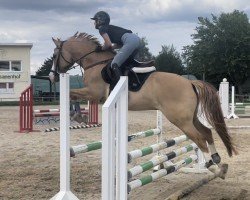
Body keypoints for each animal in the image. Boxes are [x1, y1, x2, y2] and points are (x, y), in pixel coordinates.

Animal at [49, 32, 238, 170]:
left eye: (54, 54)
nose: (52, 77)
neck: (94, 63)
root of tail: (190, 82)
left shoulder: (94, 94)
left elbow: (71, 94)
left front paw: (77, 116)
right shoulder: (93, 94)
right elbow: (72, 95)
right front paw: (78, 116)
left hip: (179, 119)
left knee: (199, 138)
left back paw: (212, 166)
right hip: (190, 117)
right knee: (207, 132)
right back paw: (216, 159)